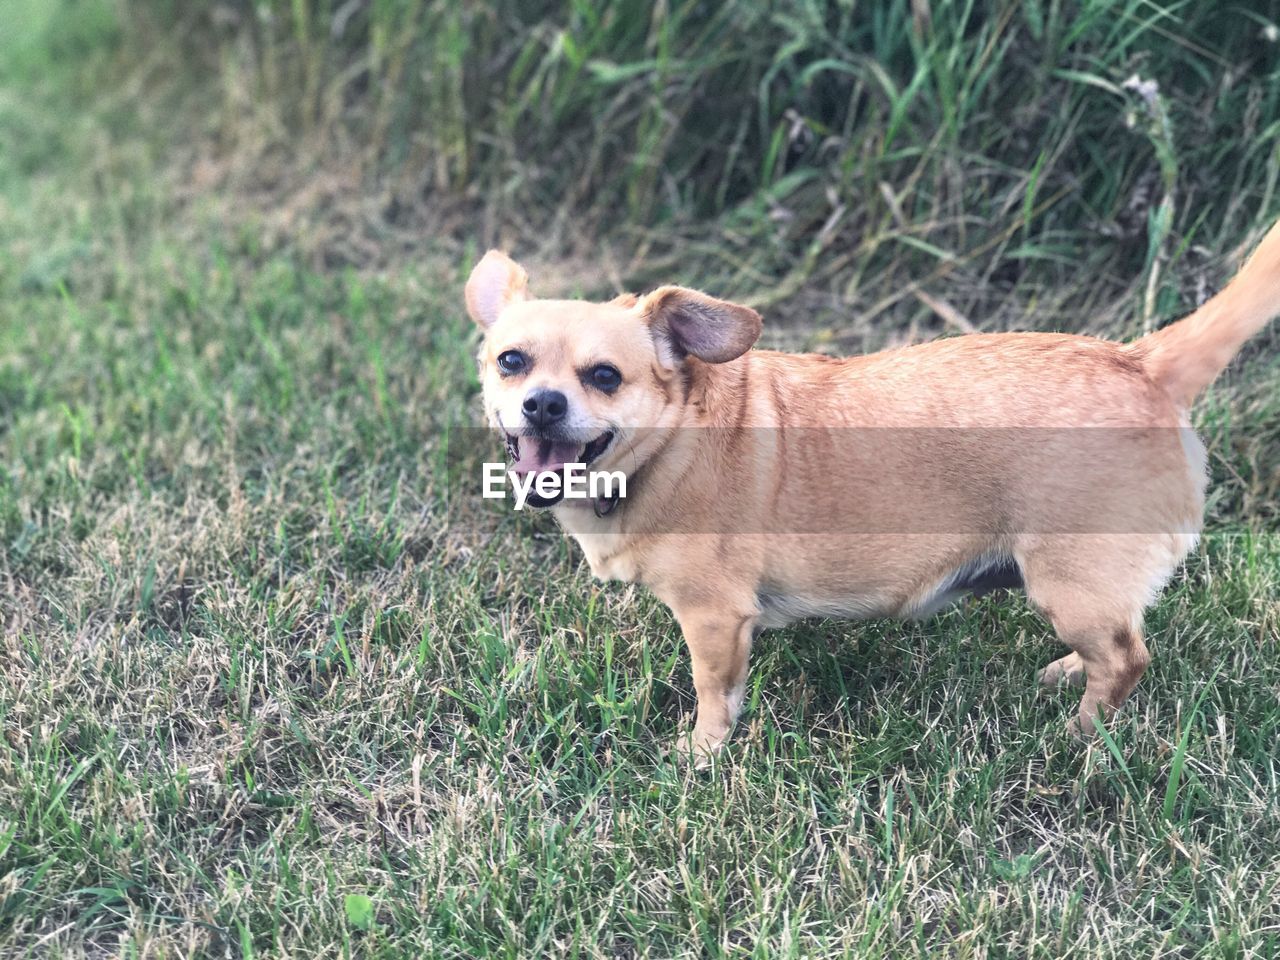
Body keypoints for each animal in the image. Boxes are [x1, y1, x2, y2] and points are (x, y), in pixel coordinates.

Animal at [465, 220, 1274, 768]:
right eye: (511, 362)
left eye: (605, 377)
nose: (541, 404)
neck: (671, 440)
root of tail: (1143, 362)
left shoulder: (715, 620)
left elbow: (714, 694)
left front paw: (701, 756)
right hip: (1081, 592)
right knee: (1117, 644)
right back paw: (1068, 677)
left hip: (1067, 583)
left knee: (1128, 660)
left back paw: (1078, 735)